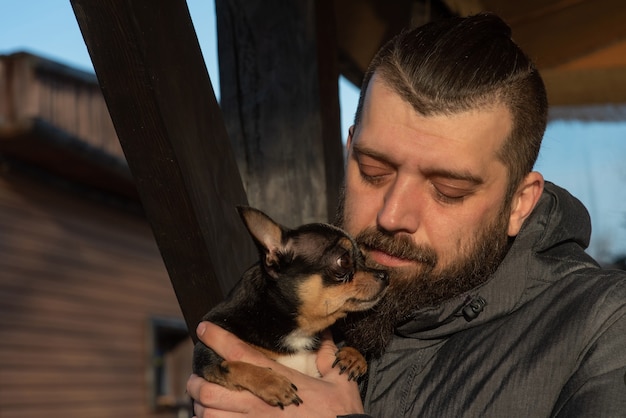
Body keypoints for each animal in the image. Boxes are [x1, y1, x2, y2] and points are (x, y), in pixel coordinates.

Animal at [191, 206, 386, 408]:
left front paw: (353, 355)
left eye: (364, 258)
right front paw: (272, 383)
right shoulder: (205, 357)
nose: (385, 275)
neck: (299, 332)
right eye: (344, 261)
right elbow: (233, 366)